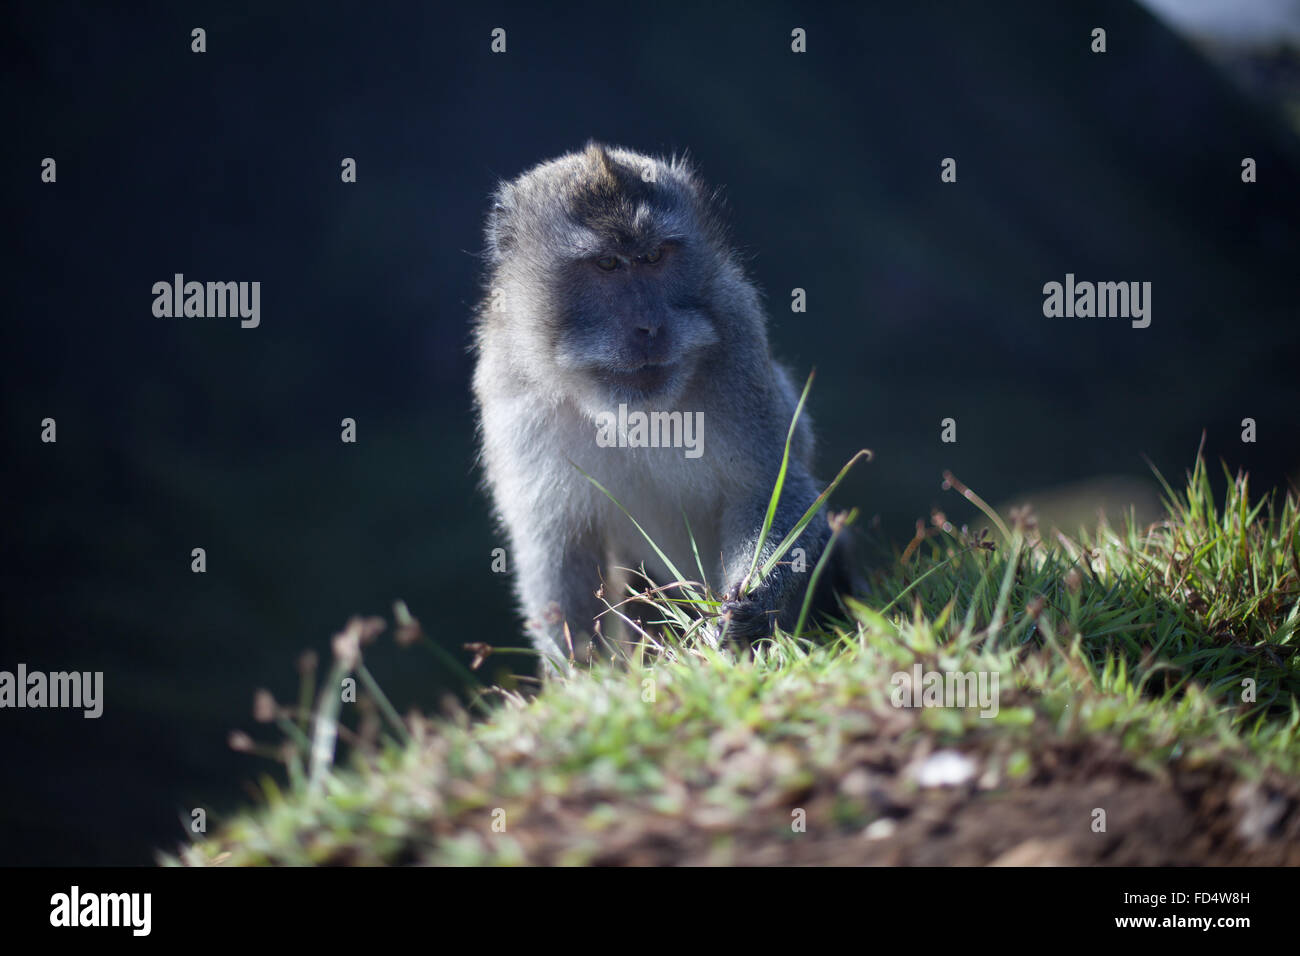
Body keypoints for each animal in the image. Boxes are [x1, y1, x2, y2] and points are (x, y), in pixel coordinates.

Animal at [471, 142, 851, 673]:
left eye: (653, 257)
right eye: (608, 264)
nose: (650, 327)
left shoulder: (737, 338)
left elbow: (771, 486)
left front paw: (750, 605)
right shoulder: (509, 388)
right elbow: (555, 544)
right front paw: (579, 675)